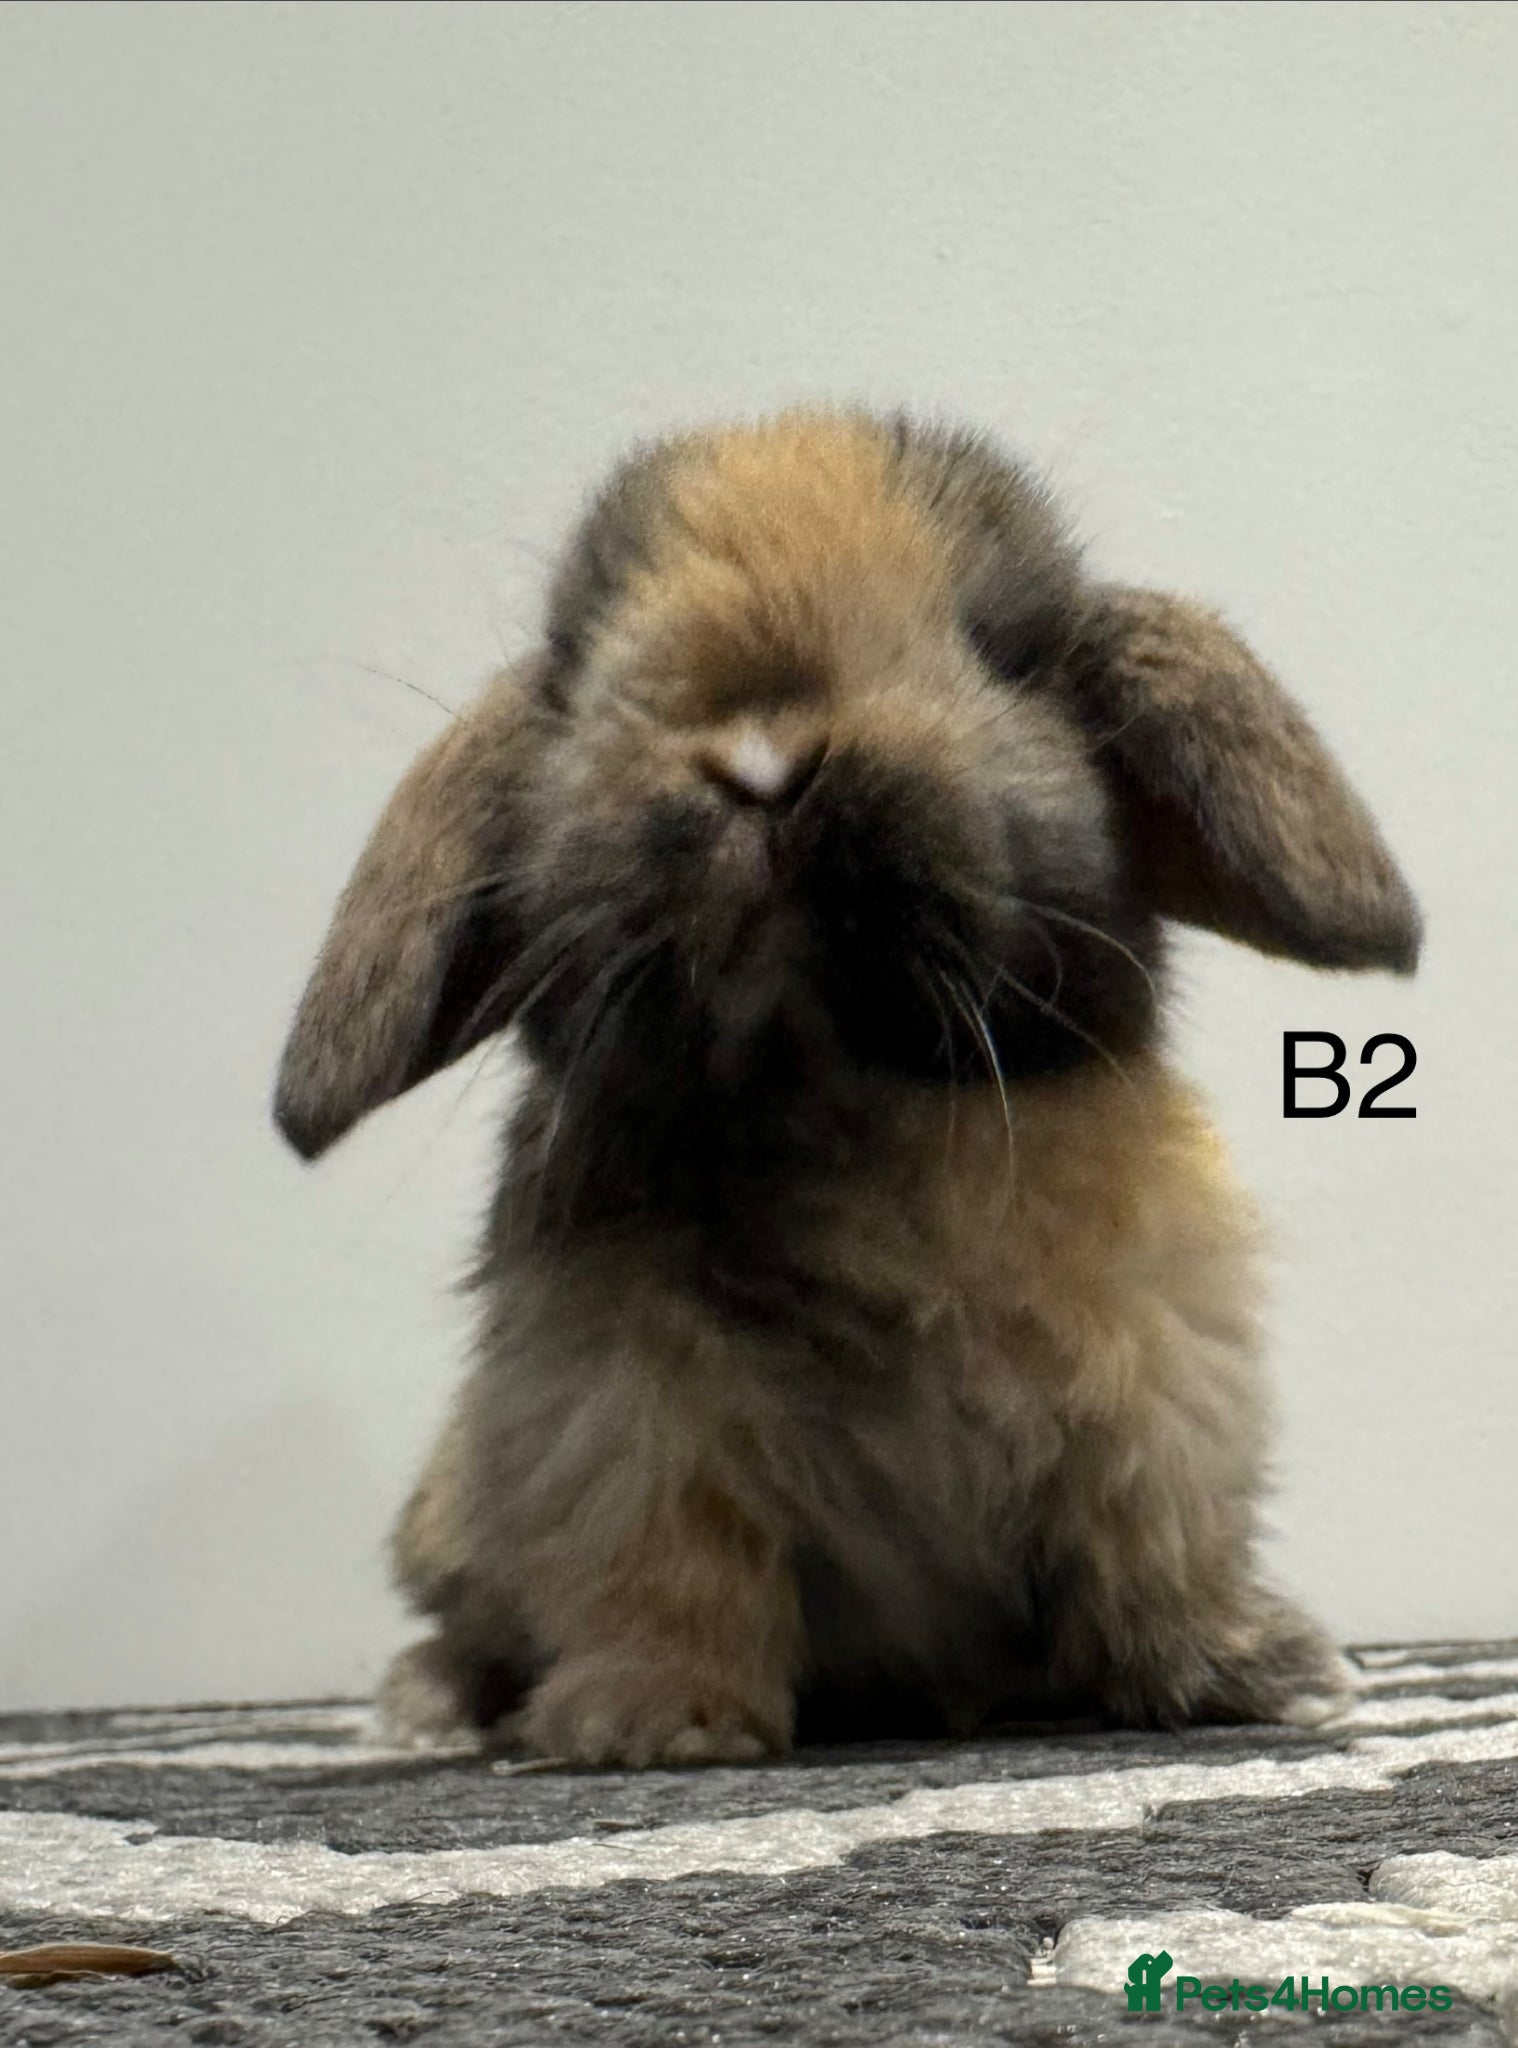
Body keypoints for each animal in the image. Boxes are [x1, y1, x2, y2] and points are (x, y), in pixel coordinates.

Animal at [275, 409, 1420, 1767]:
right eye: (580, 661)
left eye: (1001, 647)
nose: (761, 756)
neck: (851, 1100)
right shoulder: (615, 1404)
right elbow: (661, 1558)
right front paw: (650, 1720)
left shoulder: (1162, 1367)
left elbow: (1157, 1534)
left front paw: (1256, 1670)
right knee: (472, 1620)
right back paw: (430, 1706)